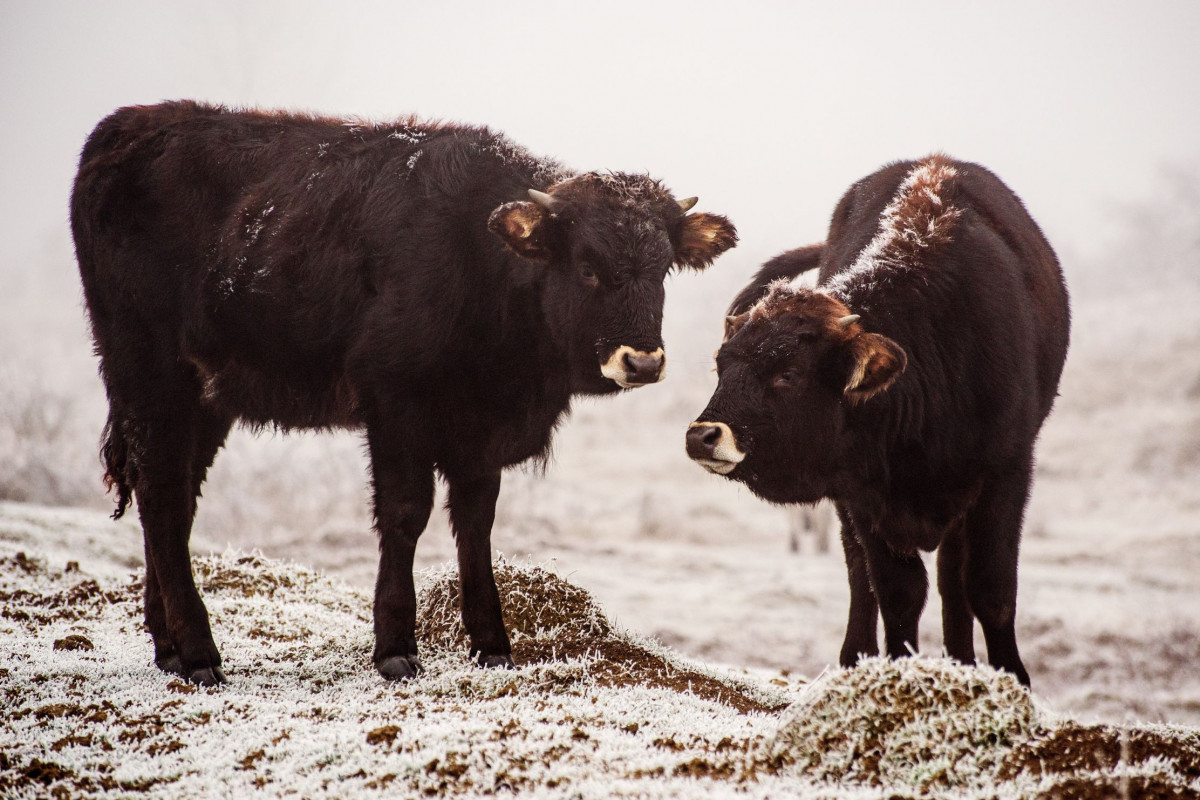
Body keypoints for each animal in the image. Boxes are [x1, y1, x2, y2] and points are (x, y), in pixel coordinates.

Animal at [72, 100, 739, 686]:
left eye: (662, 269)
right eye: (588, 266)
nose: (642, 360)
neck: (480, 260)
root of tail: (124, 128)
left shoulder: (480, 430)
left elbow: (476, 521)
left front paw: (493, 645)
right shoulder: (395, 404)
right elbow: (405, 513)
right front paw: (395, 648)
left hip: (203, 397)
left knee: (173, 497)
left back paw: (169, 647)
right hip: (148, 372)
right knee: (162, 494)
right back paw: (200, 654)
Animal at [686, 155, 1070, 690]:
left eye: (788, 373)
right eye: (723, 365)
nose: (702, 437)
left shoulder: (1006, 474)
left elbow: (990, 588)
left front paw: (1011, 680)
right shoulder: (863, 495)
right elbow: (897, 591)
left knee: (953, 579)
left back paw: (961, 662)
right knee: (861, 576)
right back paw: (858, 658)